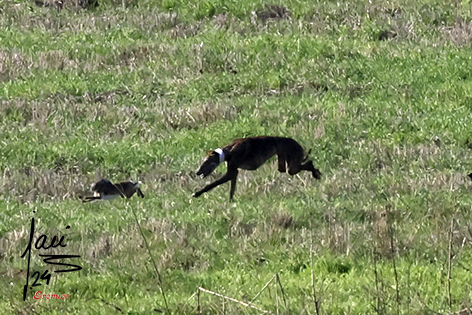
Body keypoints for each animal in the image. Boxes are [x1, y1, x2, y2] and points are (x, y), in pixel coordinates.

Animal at [194, 136, 322, 200]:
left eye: (206, 162)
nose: (197, 172)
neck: (228, 151)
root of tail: (297, 143)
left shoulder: (231, 171)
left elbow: (212, 184)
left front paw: (197, 193)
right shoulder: (234, 172)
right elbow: (232, 189)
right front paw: (231, 202)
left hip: (291, 167)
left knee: (309, 163)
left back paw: (316, 173)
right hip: (284, 164)